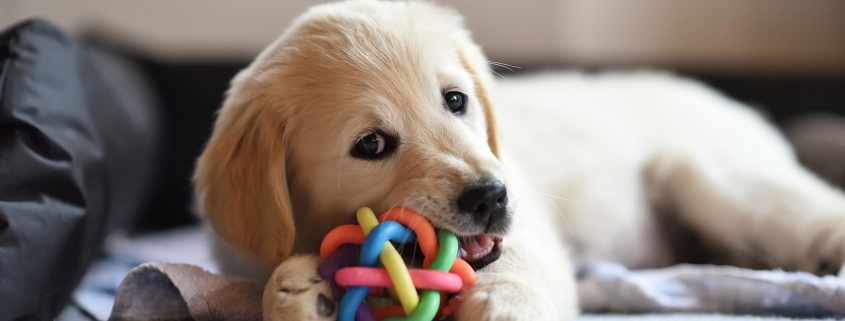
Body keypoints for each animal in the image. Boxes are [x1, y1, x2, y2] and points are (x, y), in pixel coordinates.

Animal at [195, 0, 844, 320]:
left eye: (456, 100)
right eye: (371, 145)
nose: (490, 197)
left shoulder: (528, 220)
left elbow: (518, 263)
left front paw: (505, 305)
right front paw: (301, 291)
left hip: (715, 179)